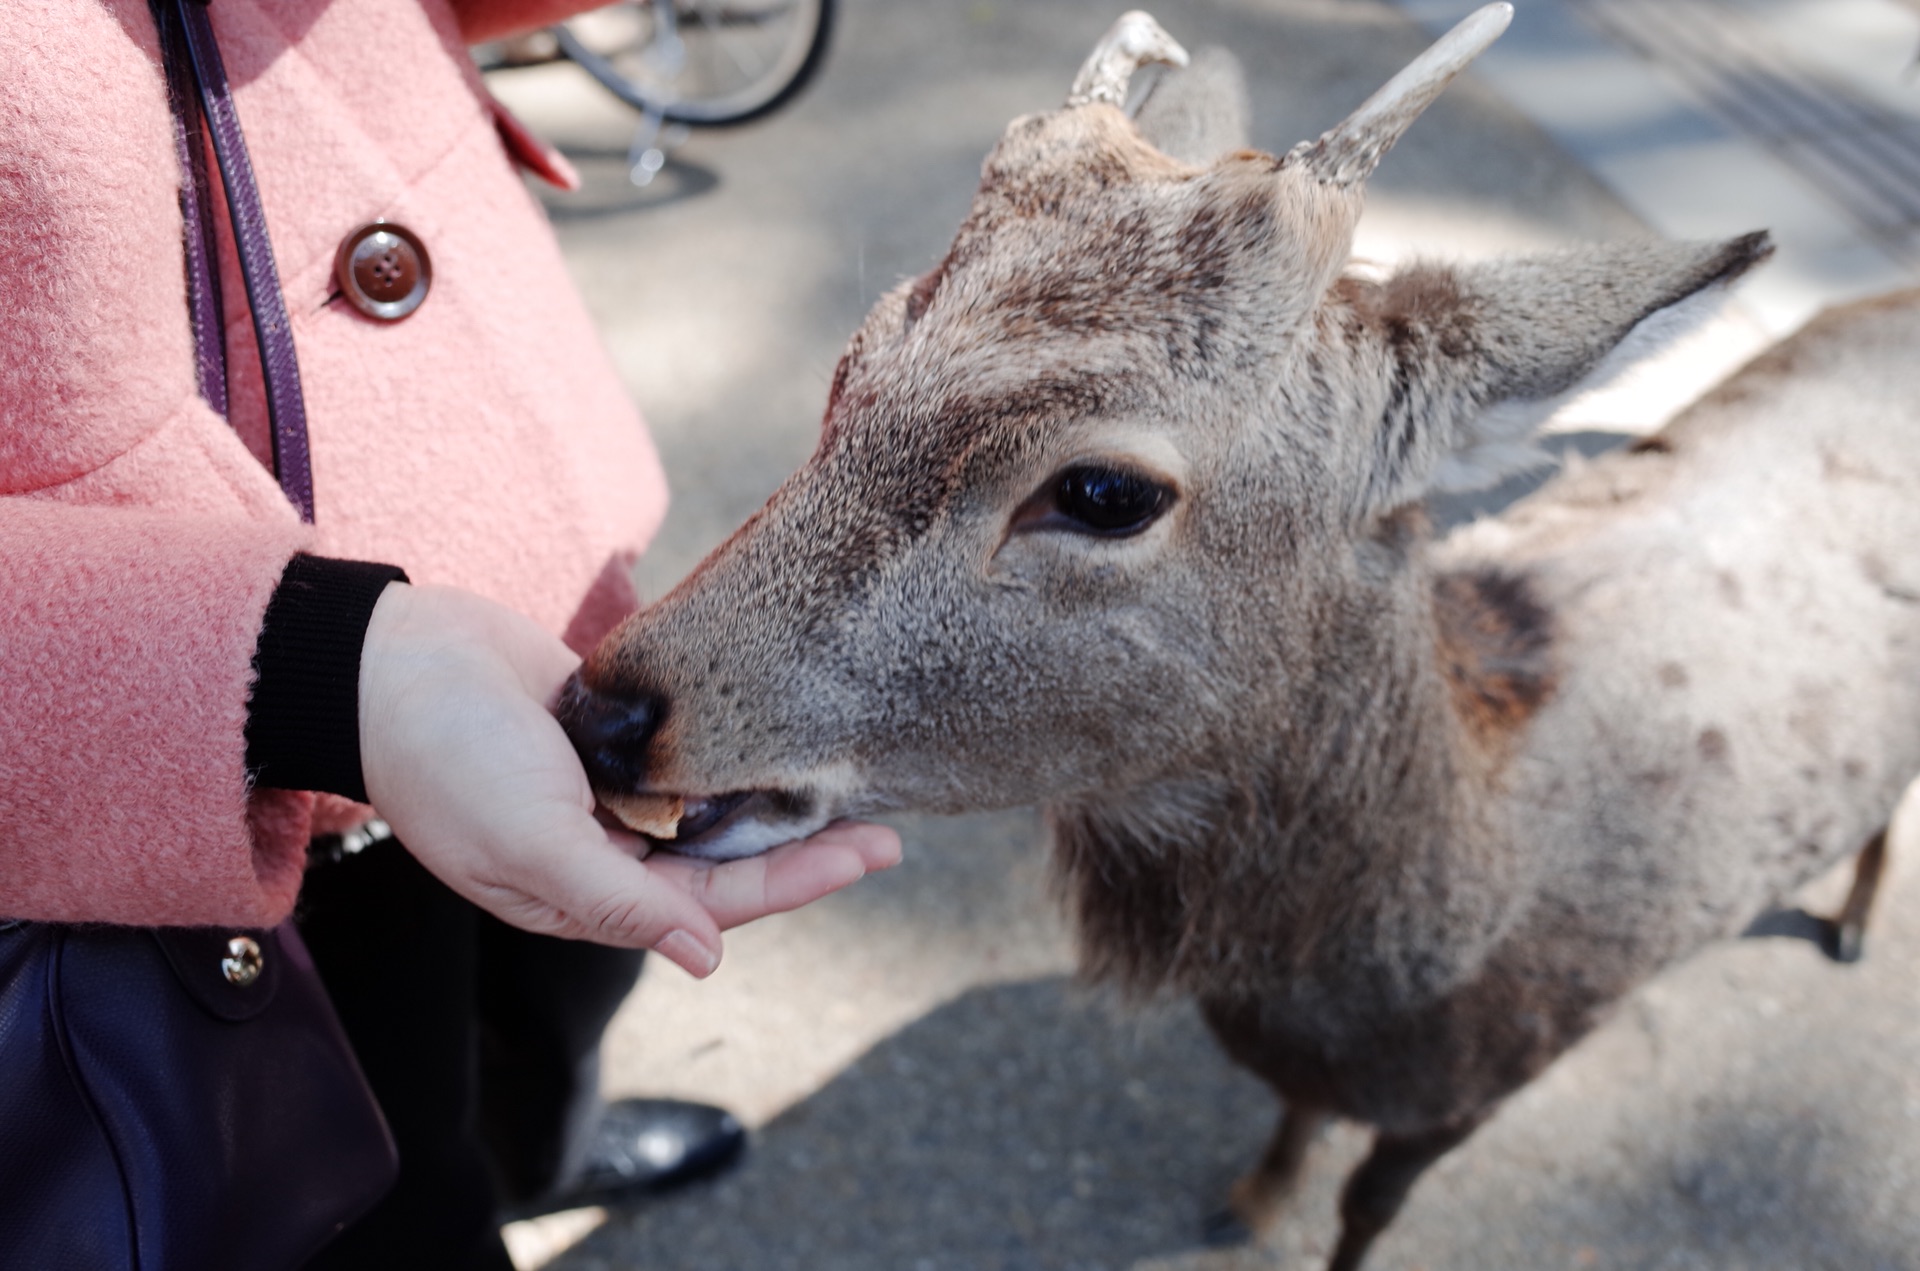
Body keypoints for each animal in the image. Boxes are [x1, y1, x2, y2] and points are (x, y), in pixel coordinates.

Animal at [556, 7, 1920, 1267]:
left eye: (1105, 490)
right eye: (861, 355)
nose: (603, 714)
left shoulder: (1482, 1086)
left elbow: (1367, 1211)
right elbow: (1290, 1127)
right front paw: (1250, 1199)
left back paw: (1854, 925)